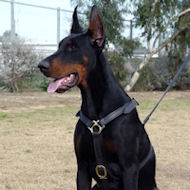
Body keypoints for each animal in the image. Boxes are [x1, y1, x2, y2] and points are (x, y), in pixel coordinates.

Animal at [37, 5, 158, 189]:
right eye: (58, 46)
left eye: (72, 48)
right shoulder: (82, 167)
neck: (95, 113)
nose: (40, 65)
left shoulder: (129, 169)